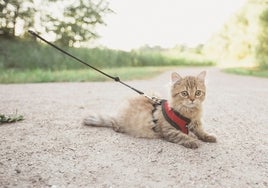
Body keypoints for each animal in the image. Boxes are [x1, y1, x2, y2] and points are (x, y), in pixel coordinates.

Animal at [82, 71, 217, 149]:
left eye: (198, 92)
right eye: (184, 93)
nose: (192, 99)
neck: (189, 114)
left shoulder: (196, 124)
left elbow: (201, 132)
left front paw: (208, 136)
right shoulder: (169, 130)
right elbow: (182, 136)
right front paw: (192, 140)